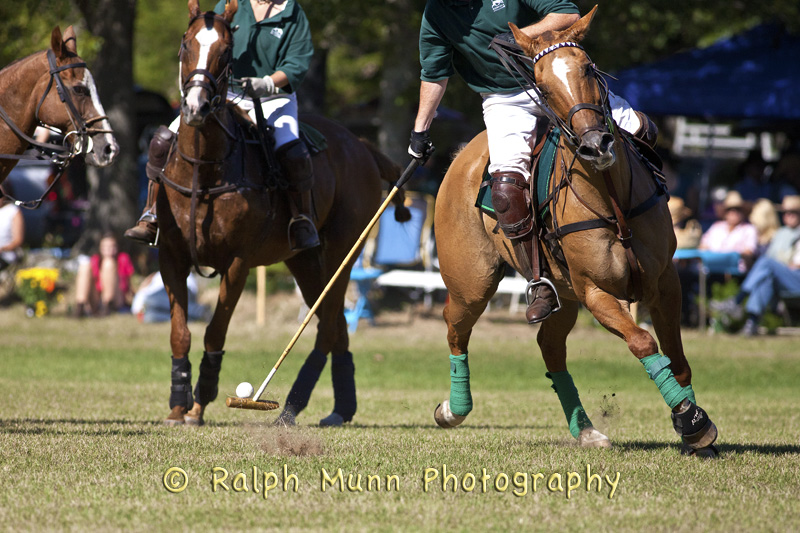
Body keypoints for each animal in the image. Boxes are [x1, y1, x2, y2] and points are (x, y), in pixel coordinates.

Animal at [157, 0, 410, 424]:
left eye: (226, 51)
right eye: (185, 44)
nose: (194, 107)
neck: (204, 168)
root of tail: (361, 144)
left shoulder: (238, 261)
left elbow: (214, 332)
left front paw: (199, 402)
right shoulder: (171, 255)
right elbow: (180, 333)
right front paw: (178, 404)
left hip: (343, 251)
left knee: (329, 324)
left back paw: (294, 406)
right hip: (303, 259)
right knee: (335, 323)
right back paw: (341, 408)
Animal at [432, 7, 720, 458]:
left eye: (588, 67)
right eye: (542, 87)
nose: (595, 145)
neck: (612, 201)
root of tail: (462, 154)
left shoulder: (665, 280)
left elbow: (677, 358)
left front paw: (692, 428)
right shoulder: (595, 291)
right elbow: (643, 343)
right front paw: (692, 422)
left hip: (563, 296)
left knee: (549, 345)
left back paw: (584, 429)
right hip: (471, 283)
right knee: (454, 326)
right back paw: (454, 409)